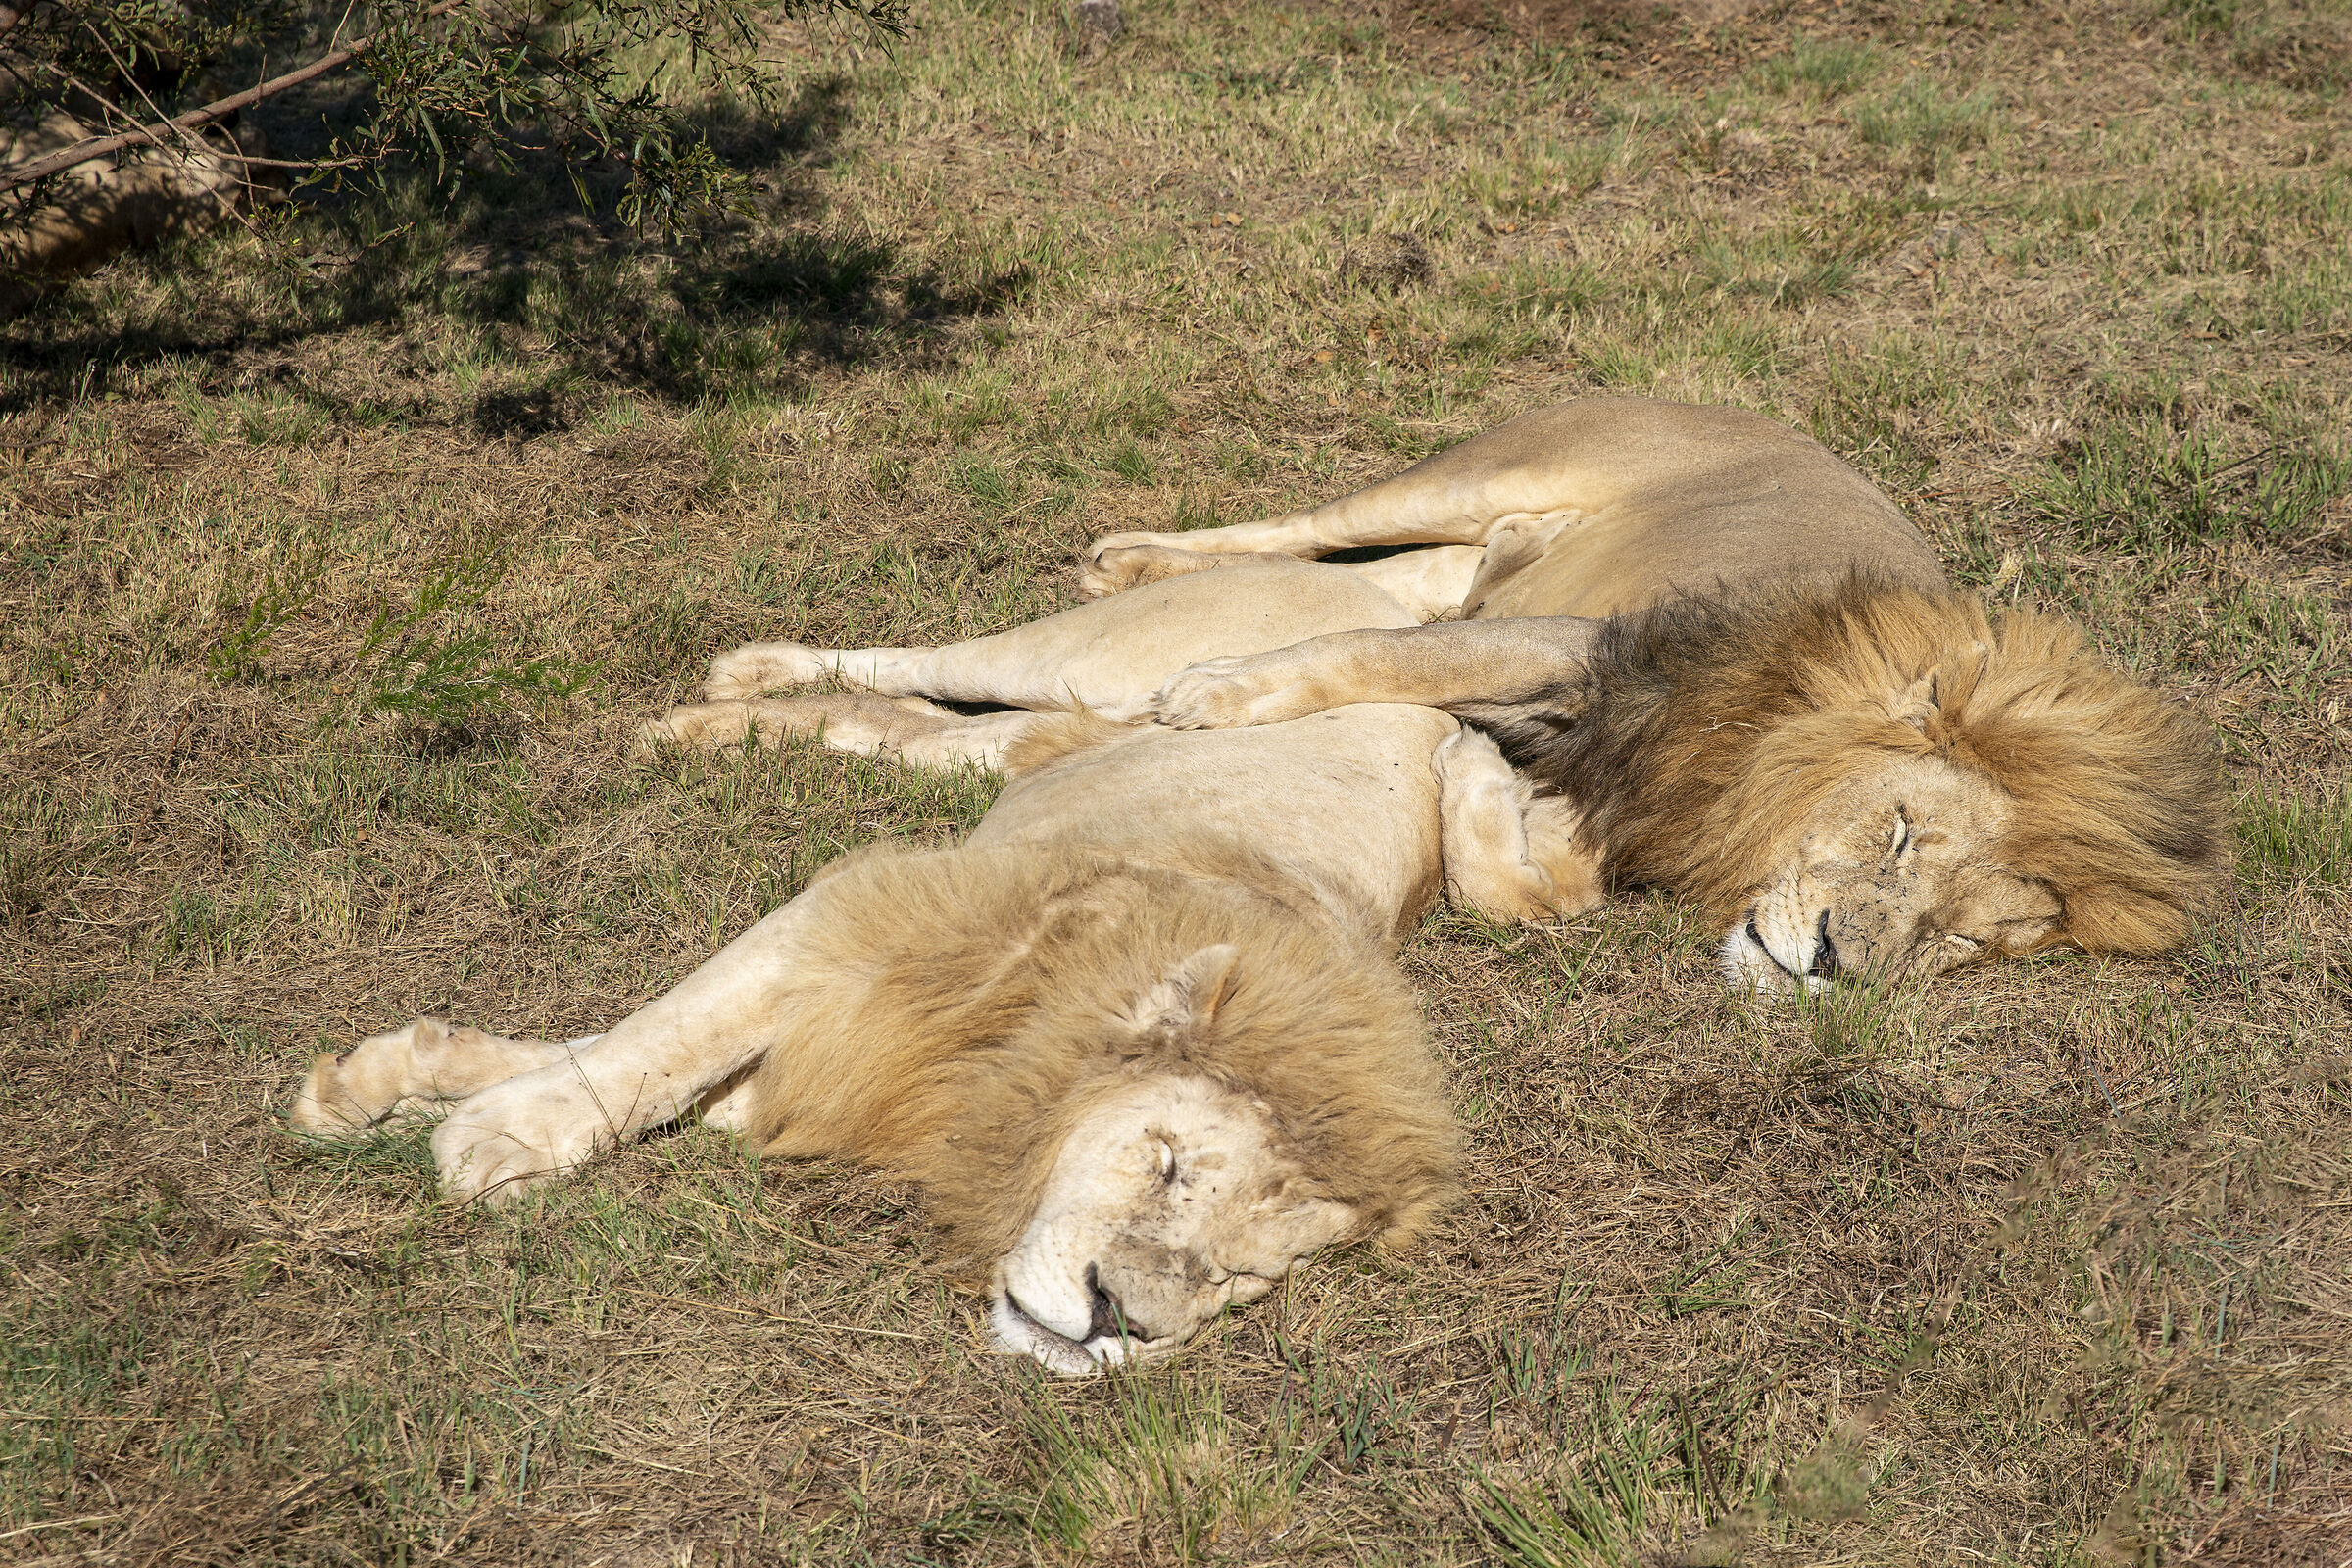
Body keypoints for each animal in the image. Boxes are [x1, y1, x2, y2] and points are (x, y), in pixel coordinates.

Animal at [297, 578, 1607, 1372]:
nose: (1121, 1317)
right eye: (1167, 1164)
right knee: (922, 659)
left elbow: (649, 1061)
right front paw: (486, 1133)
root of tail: (1385, 598)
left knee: (905, 721)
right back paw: (739, 671)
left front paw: (396, 1087)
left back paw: (710, 726)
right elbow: (651, 1047)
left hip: (1035, 739)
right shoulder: (854, 918)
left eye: (1242, 1276)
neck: (1019, 1060)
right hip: (1101, 654)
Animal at [701, 398, 2228, 990]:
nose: (1842, 966)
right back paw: (1121, 559)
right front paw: (1218, 698)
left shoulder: (1596, 790)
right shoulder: (1582, 649)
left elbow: (1519, 877)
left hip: (1463, 547)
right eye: (1900, 834)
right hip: (1466, 477)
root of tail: (1749, 409)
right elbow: (1377, 664)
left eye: (1962, 943)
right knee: (1301, 531)